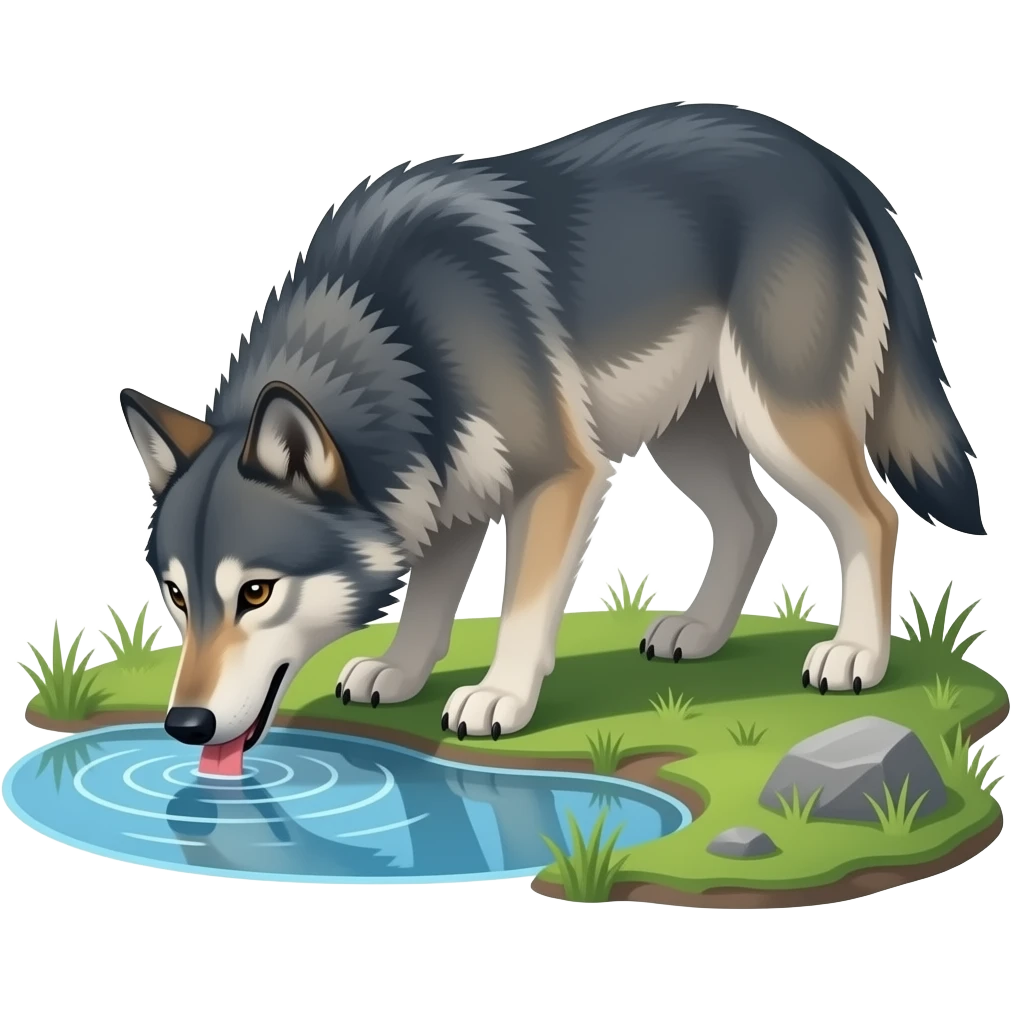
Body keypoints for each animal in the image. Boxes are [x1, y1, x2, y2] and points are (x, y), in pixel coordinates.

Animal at [120, 101, 985, 769]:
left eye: (256, 592)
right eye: (175, 596)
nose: (184, 725)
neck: (397, 331)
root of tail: (825, 161)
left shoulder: (558, 477)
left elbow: (521, 606)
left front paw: (499, 696)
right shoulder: (443, 490)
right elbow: (427, 602)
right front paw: (400, 673)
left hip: (778, 421)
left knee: (871, 515)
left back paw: (856, 656)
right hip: (690, 433)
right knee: (754, 517)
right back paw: (700, 632)